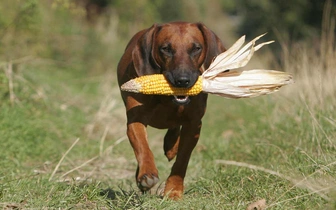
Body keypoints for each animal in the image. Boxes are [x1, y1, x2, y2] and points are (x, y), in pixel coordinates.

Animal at [118, 22, 226, 199]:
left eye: (196, 48)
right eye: (166, 49)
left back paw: (171, 145)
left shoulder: (194, 125)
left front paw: (173, 190)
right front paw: (146, 174)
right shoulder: (136, 119)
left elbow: (182, 160)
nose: (182, 81)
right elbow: (143, 147)